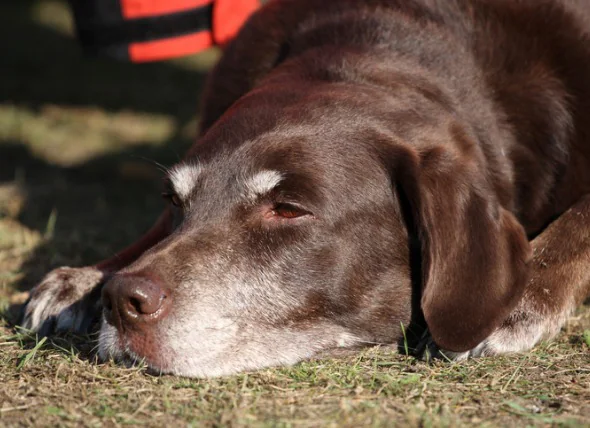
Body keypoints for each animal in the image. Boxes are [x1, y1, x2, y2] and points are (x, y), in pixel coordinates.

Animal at [19, 0, 590, 376]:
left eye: (289, 209)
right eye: (174, 201)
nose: (120, 301)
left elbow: (580, 221)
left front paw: (522, 299)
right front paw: (86, 279)